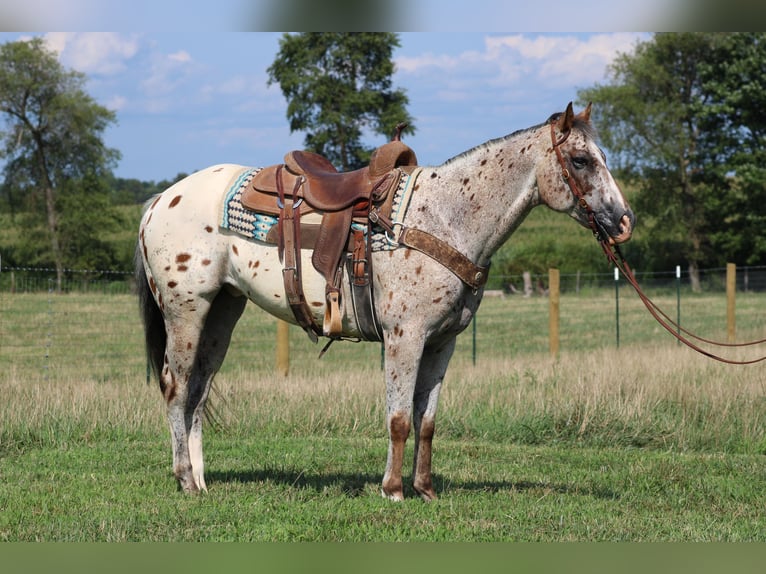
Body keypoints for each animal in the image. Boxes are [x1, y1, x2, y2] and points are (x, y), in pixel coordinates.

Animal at [136, 104, 636, 504]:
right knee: (176, 387)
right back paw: (185, 480)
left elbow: (426, 421)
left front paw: (426, 489)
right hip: (186, 311)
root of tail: (163, 198)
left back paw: (201, 481)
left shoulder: (442, 343)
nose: (624, 222)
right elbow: (398, 418)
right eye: (580, 160)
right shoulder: (404, 337)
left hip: (223, 310)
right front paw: (393, 490)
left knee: (199, 391)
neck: (445, 217)